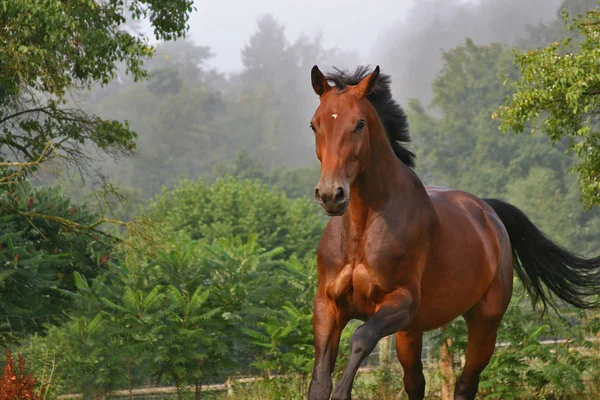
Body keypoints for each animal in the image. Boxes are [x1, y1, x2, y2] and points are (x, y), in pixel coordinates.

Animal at [308, 64, 600, 398]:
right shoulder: (328, 306)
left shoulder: (400, 303)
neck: (362, 230)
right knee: (415, 382)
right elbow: (320, 380)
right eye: (315, 125)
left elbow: (361, 338)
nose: (331, 195)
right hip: (411, 332)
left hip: (484, 323)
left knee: (466, 382)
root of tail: (488, 211)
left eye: (359, 124)